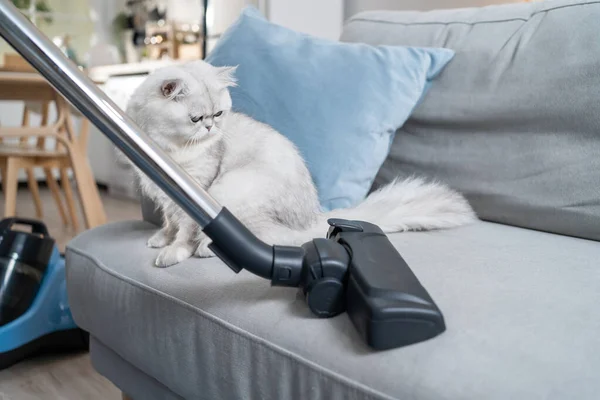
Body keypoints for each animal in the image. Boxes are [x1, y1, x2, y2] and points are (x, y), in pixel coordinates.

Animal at [126, 61, 478, 268]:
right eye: (196, 119)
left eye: (218, 114)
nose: (211, 128)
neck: (169, 149)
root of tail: (314, 216)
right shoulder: (164, 195)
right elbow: (169, 224)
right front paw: (160, 238)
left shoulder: (194, 190)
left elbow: (184, 231)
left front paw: (172, 252)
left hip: (231, 191)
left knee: (263, 240)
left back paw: (205, 249)